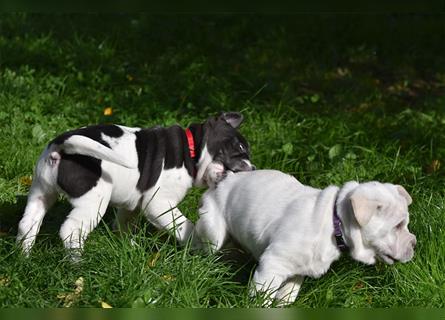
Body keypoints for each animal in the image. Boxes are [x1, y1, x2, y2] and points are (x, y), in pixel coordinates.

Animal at [17, 111, 253, 256]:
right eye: (239, 149)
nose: (252, 169)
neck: (192, 149)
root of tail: (61, 145)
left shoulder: (132, 204)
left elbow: (124, 224)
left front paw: (127, 246)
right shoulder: (159, 204)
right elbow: (185, 227)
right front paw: (198, 246)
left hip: (41, 191)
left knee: (28, 224)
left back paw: (24, 257)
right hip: (93, 201)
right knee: (71, 230)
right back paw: (77, 264)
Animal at [195, 169, 416, 306]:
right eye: (398, 225)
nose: (414, 243)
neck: (334, 222)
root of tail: (222, 180)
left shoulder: (296, 273)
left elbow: (286, 297)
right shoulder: (272, 266)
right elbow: (261, 299)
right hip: (213, 232)